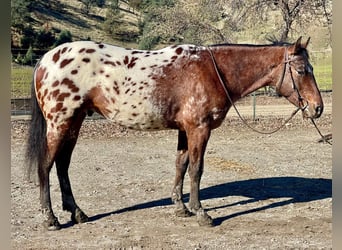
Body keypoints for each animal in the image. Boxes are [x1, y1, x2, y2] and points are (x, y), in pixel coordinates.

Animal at [26, 36, 324, 229]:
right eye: (301, 70)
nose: (317, 108)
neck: (212, 71)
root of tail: (46, 59)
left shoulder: (185, 130)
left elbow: (181, 165)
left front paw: (181, 208)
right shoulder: (199, 129)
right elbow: (196, 169)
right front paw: (201, 212)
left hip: (73, 123)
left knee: (63, 166)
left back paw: (77, 213)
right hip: (60, 123)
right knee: (46, 166)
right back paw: (50, 218)